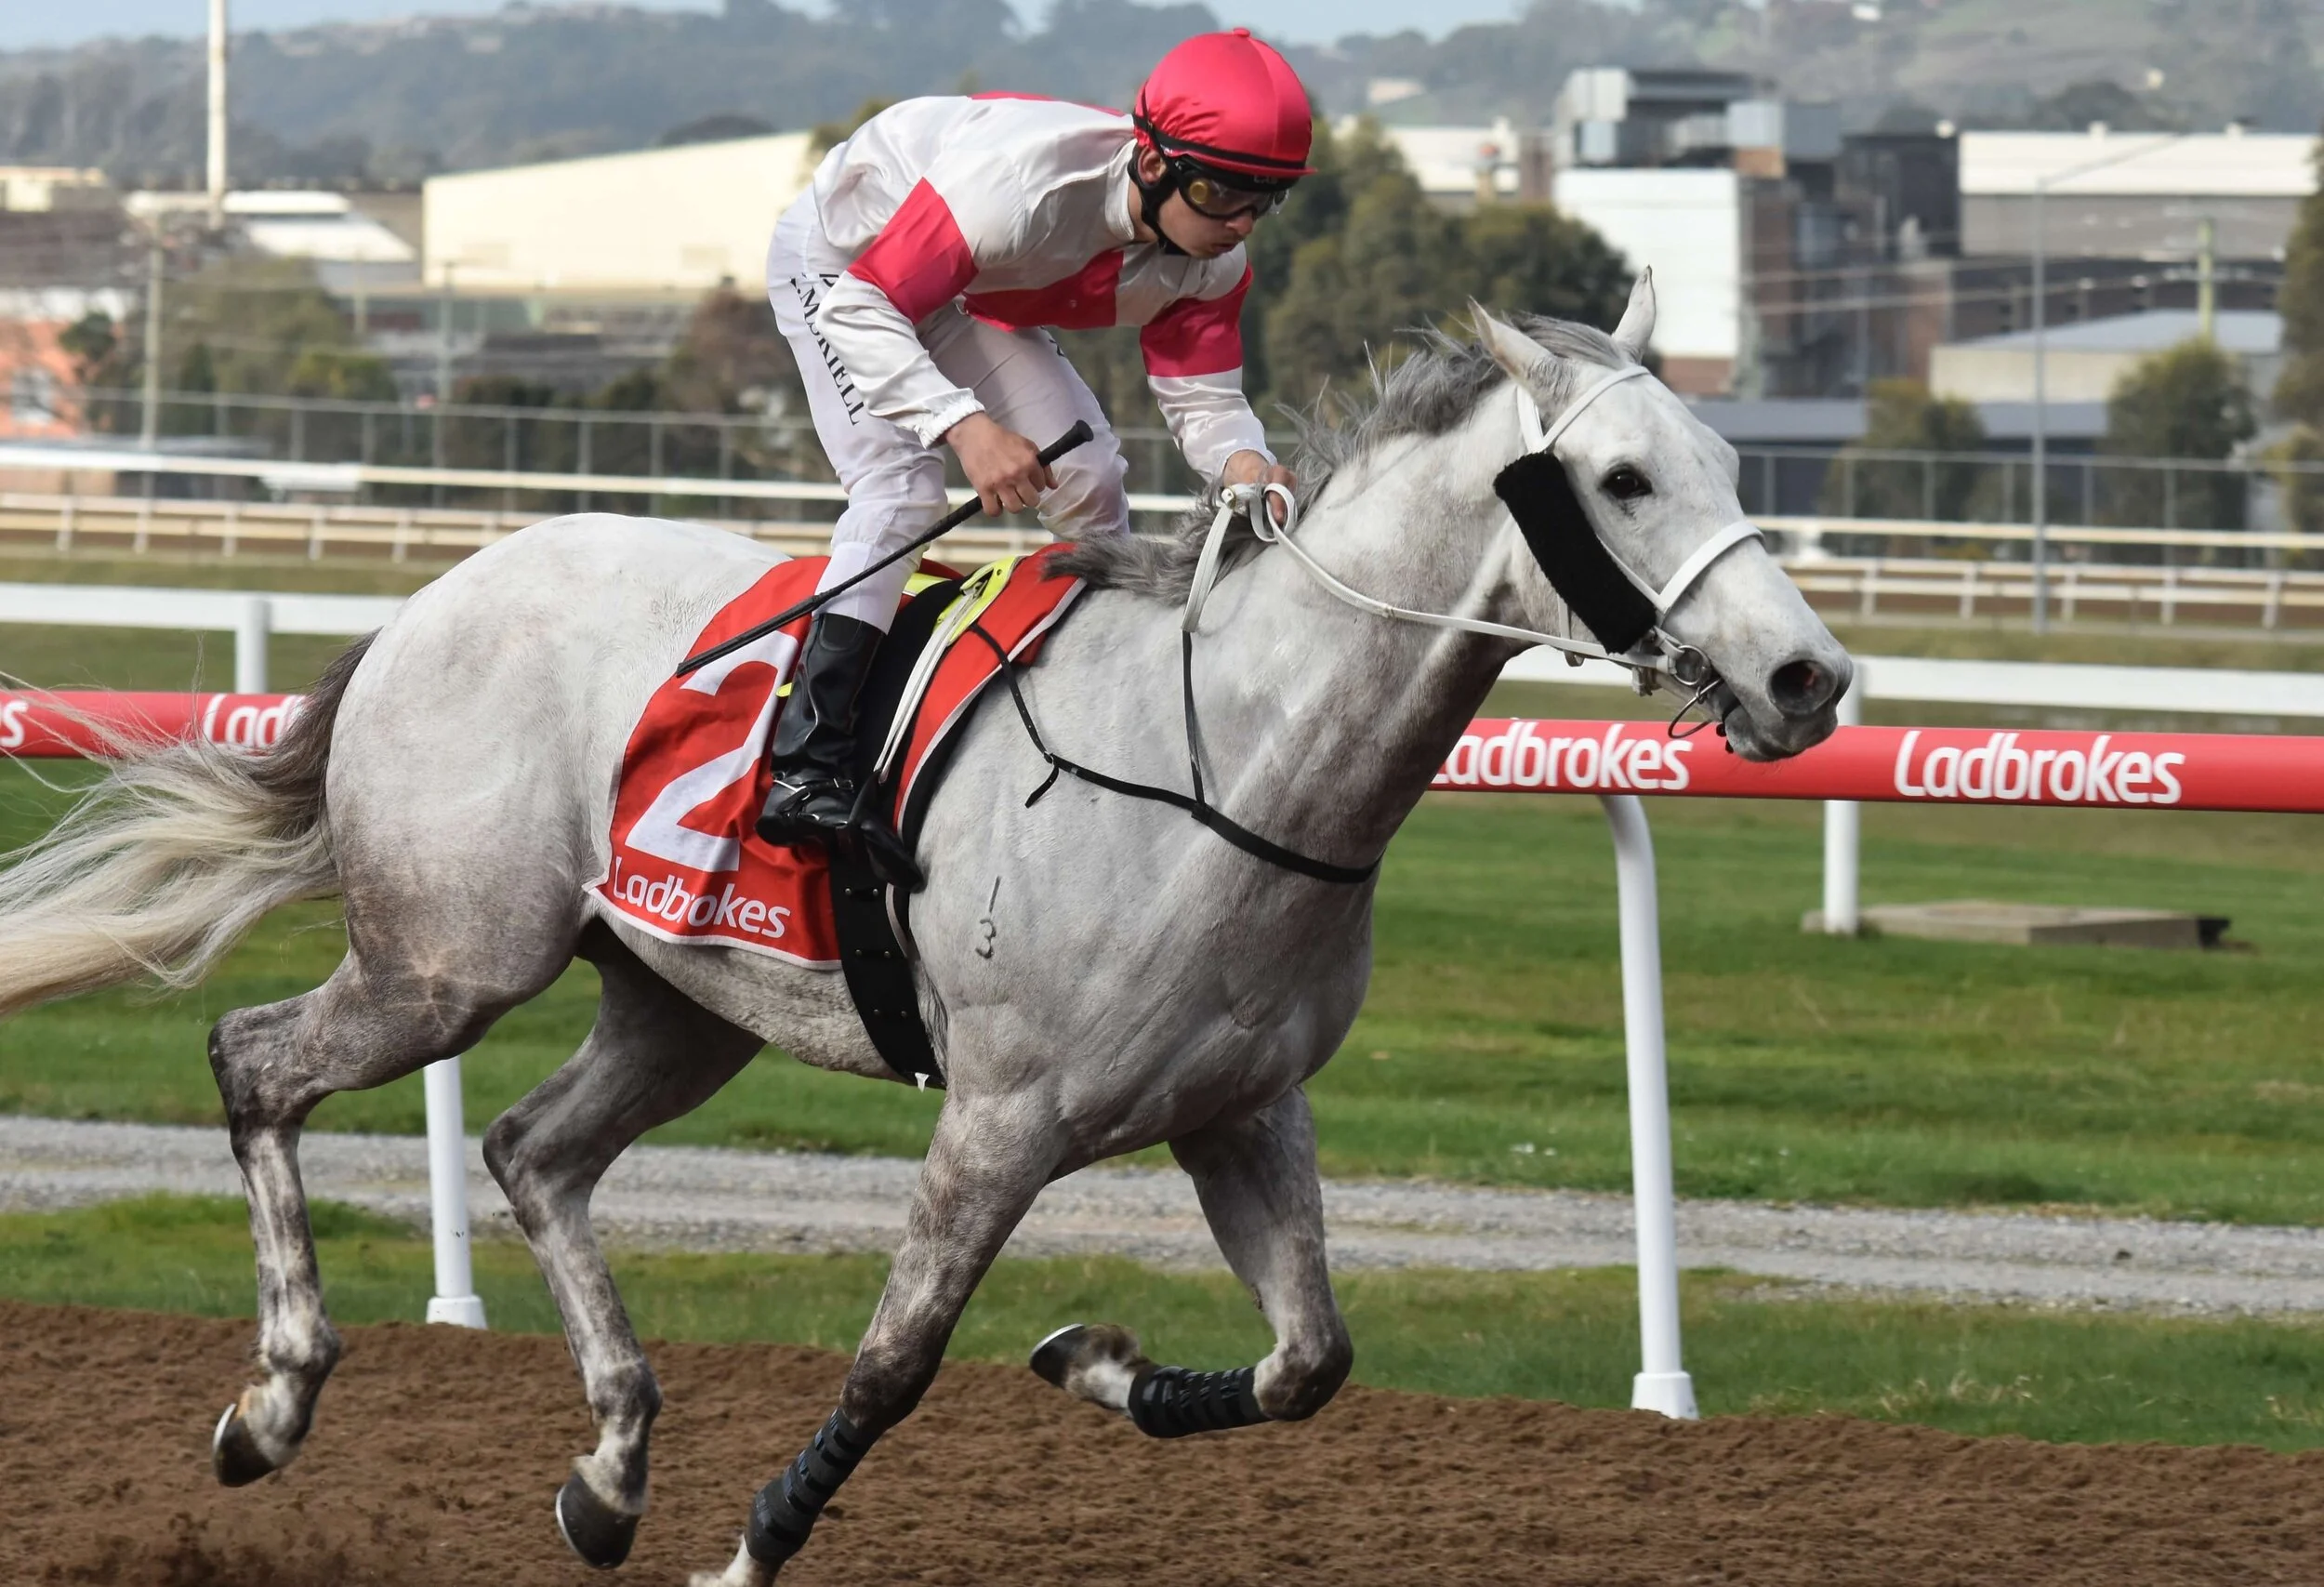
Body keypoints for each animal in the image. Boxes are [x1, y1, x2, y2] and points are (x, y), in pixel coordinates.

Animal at [0, 283, 1848, 1585]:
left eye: (1730, 468)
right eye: (1621, 478)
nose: (1811, 677)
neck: (1225, 761)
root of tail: (422, 605)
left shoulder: (1242, 1109)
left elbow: (1309, 1360)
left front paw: (1093, 1356)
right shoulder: (1002, 1116)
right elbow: (895, 1359)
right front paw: (752, 1544)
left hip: (679, 996)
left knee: (533, 1147)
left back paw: (610, 1464)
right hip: (447, 959)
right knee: (257, 1063)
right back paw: (276, 1399)